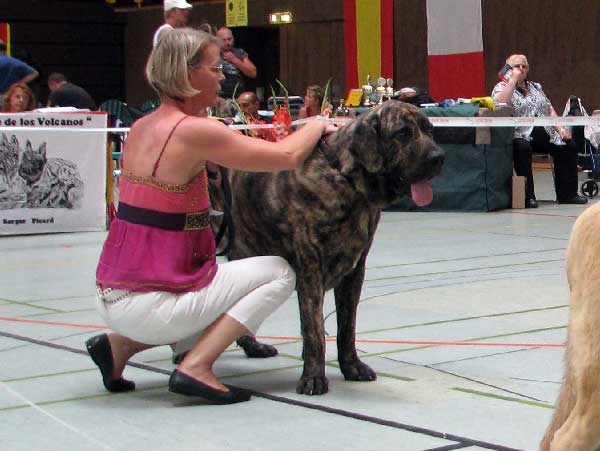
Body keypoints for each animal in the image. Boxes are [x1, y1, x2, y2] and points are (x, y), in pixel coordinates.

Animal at [213, 100, 442, 396]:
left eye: (429, 130)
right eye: (402, 133)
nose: (439, 156)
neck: (346, 180)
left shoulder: (354, 272)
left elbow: (347, 326)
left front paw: (351, 366)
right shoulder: (311, 269)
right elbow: (314, 329)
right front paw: (313, 377)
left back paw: (253, 346)